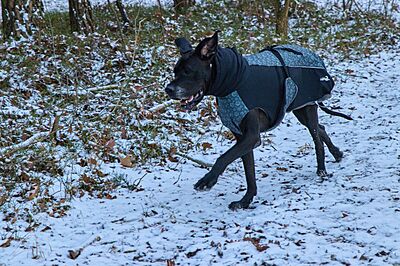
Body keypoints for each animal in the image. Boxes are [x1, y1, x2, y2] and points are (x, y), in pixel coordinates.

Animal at [164, 31, 352, 210]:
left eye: (188, 71)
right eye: (175, 71)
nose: (168, 89)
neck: (232, 81)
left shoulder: (251, 137)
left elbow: (223, 158)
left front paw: (208, 180)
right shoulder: (242, 138)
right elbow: (249, 173)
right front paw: (245, 201)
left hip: (307, 106)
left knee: (316, 138)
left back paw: (322, 170)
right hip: (299, 107)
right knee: (321, 128)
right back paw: (337, 153)